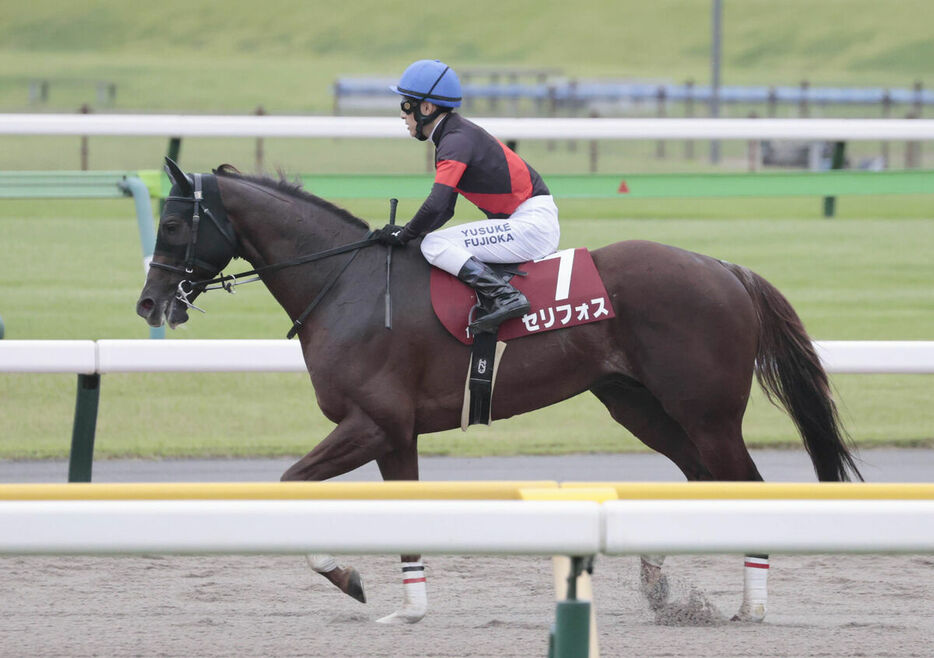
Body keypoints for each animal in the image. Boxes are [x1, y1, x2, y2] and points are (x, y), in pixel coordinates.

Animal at [137, 156, 864, 624]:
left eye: (172, 226)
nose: (149, 304)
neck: (347, 286)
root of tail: (725, 268)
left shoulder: (371, 422)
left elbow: (290, 484)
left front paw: (347, 578)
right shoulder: (395, 434)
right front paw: (409, 608)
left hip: (706, 414)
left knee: (744, 485)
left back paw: (751, 605)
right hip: (638, 405)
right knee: (700, 482)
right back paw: (664, 589)